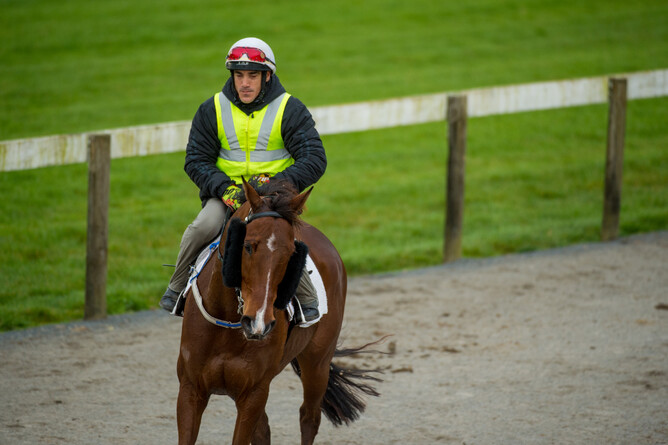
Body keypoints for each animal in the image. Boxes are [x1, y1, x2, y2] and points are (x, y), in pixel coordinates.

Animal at [175, 178, 381, 445]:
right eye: (247, 246)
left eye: (291, 253)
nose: (258, 322)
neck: (227, 323)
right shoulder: (191, 389)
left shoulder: (254, 392)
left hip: (317, 361)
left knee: (309, 416)